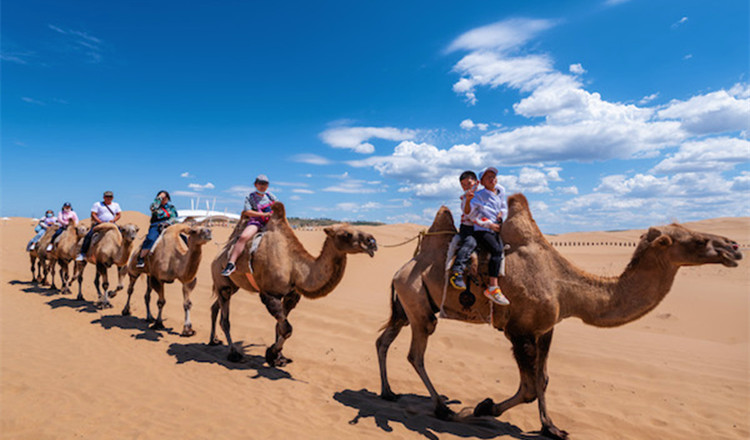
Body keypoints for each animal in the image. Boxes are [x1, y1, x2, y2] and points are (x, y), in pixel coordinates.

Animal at [210, 201, 376, 366]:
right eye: (347, 234)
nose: (372, 241)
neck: (294, 266)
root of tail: (217, 257)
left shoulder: (291, 295)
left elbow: (280, 326)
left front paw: (279, 357)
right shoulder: (270, 294)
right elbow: (287, 329)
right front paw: (272, 353)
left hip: (233, 286)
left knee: (215, 307)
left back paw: (213, 341)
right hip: (222, 282)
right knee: (225, 320)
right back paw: (234, 353)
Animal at [378, 195, 744, 440]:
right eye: (698, 240)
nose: (735, 247)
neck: (564, 287)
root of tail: (400, 270)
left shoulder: (546, 329)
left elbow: (543, 379)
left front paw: (550, 427)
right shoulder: (519, 332)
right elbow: (528, 387)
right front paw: (483, 408)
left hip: (407, 307)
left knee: (384, 340)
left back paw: (389, 394)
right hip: (420, 308)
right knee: (416, 354)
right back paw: (442, 408)